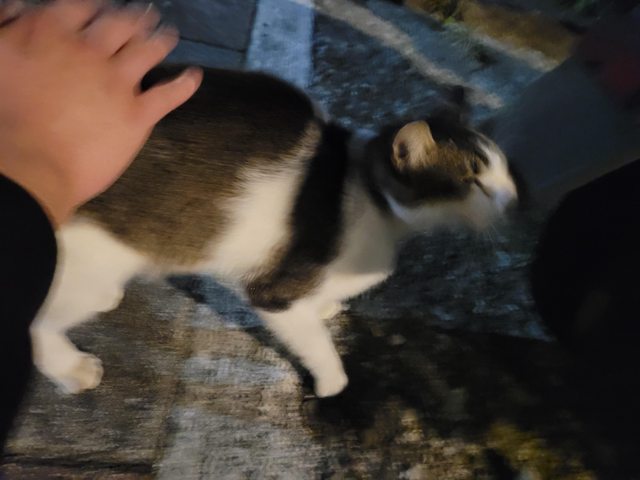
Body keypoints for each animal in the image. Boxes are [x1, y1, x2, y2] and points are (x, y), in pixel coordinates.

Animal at [30, 66, 517, 398]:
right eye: (474, 180)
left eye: (503, 169)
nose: (513, 198)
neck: (372, 198)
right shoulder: (273, 292)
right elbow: (313, 340)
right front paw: (332, 380)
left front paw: (327, 306)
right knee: (38, 321)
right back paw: (70, 368)